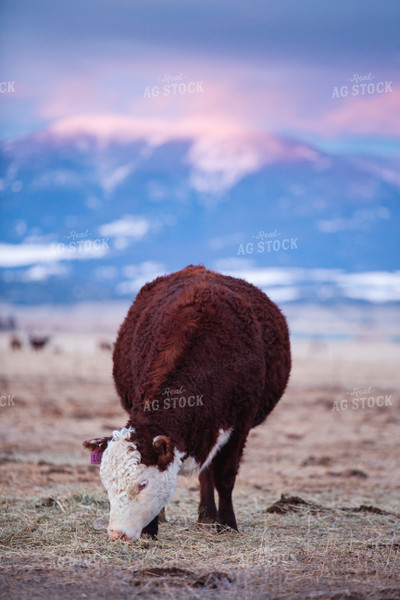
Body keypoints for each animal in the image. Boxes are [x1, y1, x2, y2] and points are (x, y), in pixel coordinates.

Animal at [84, 264, 290, 540]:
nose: (117, 533)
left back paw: (208, 516)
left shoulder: (240, 426)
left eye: (142, 483)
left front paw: (228, 524)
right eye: (106, 484)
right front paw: (151, 529)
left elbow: (225, 477)